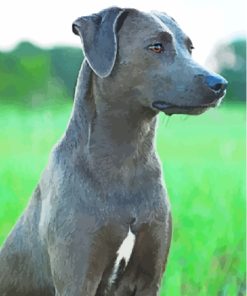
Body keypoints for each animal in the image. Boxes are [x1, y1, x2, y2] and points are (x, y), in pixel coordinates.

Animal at [0, 6, 228, 296]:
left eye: (190, 48)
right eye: (156, 46)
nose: (219, 84)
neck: (126, 158)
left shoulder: (150, 275)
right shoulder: (78, 278)